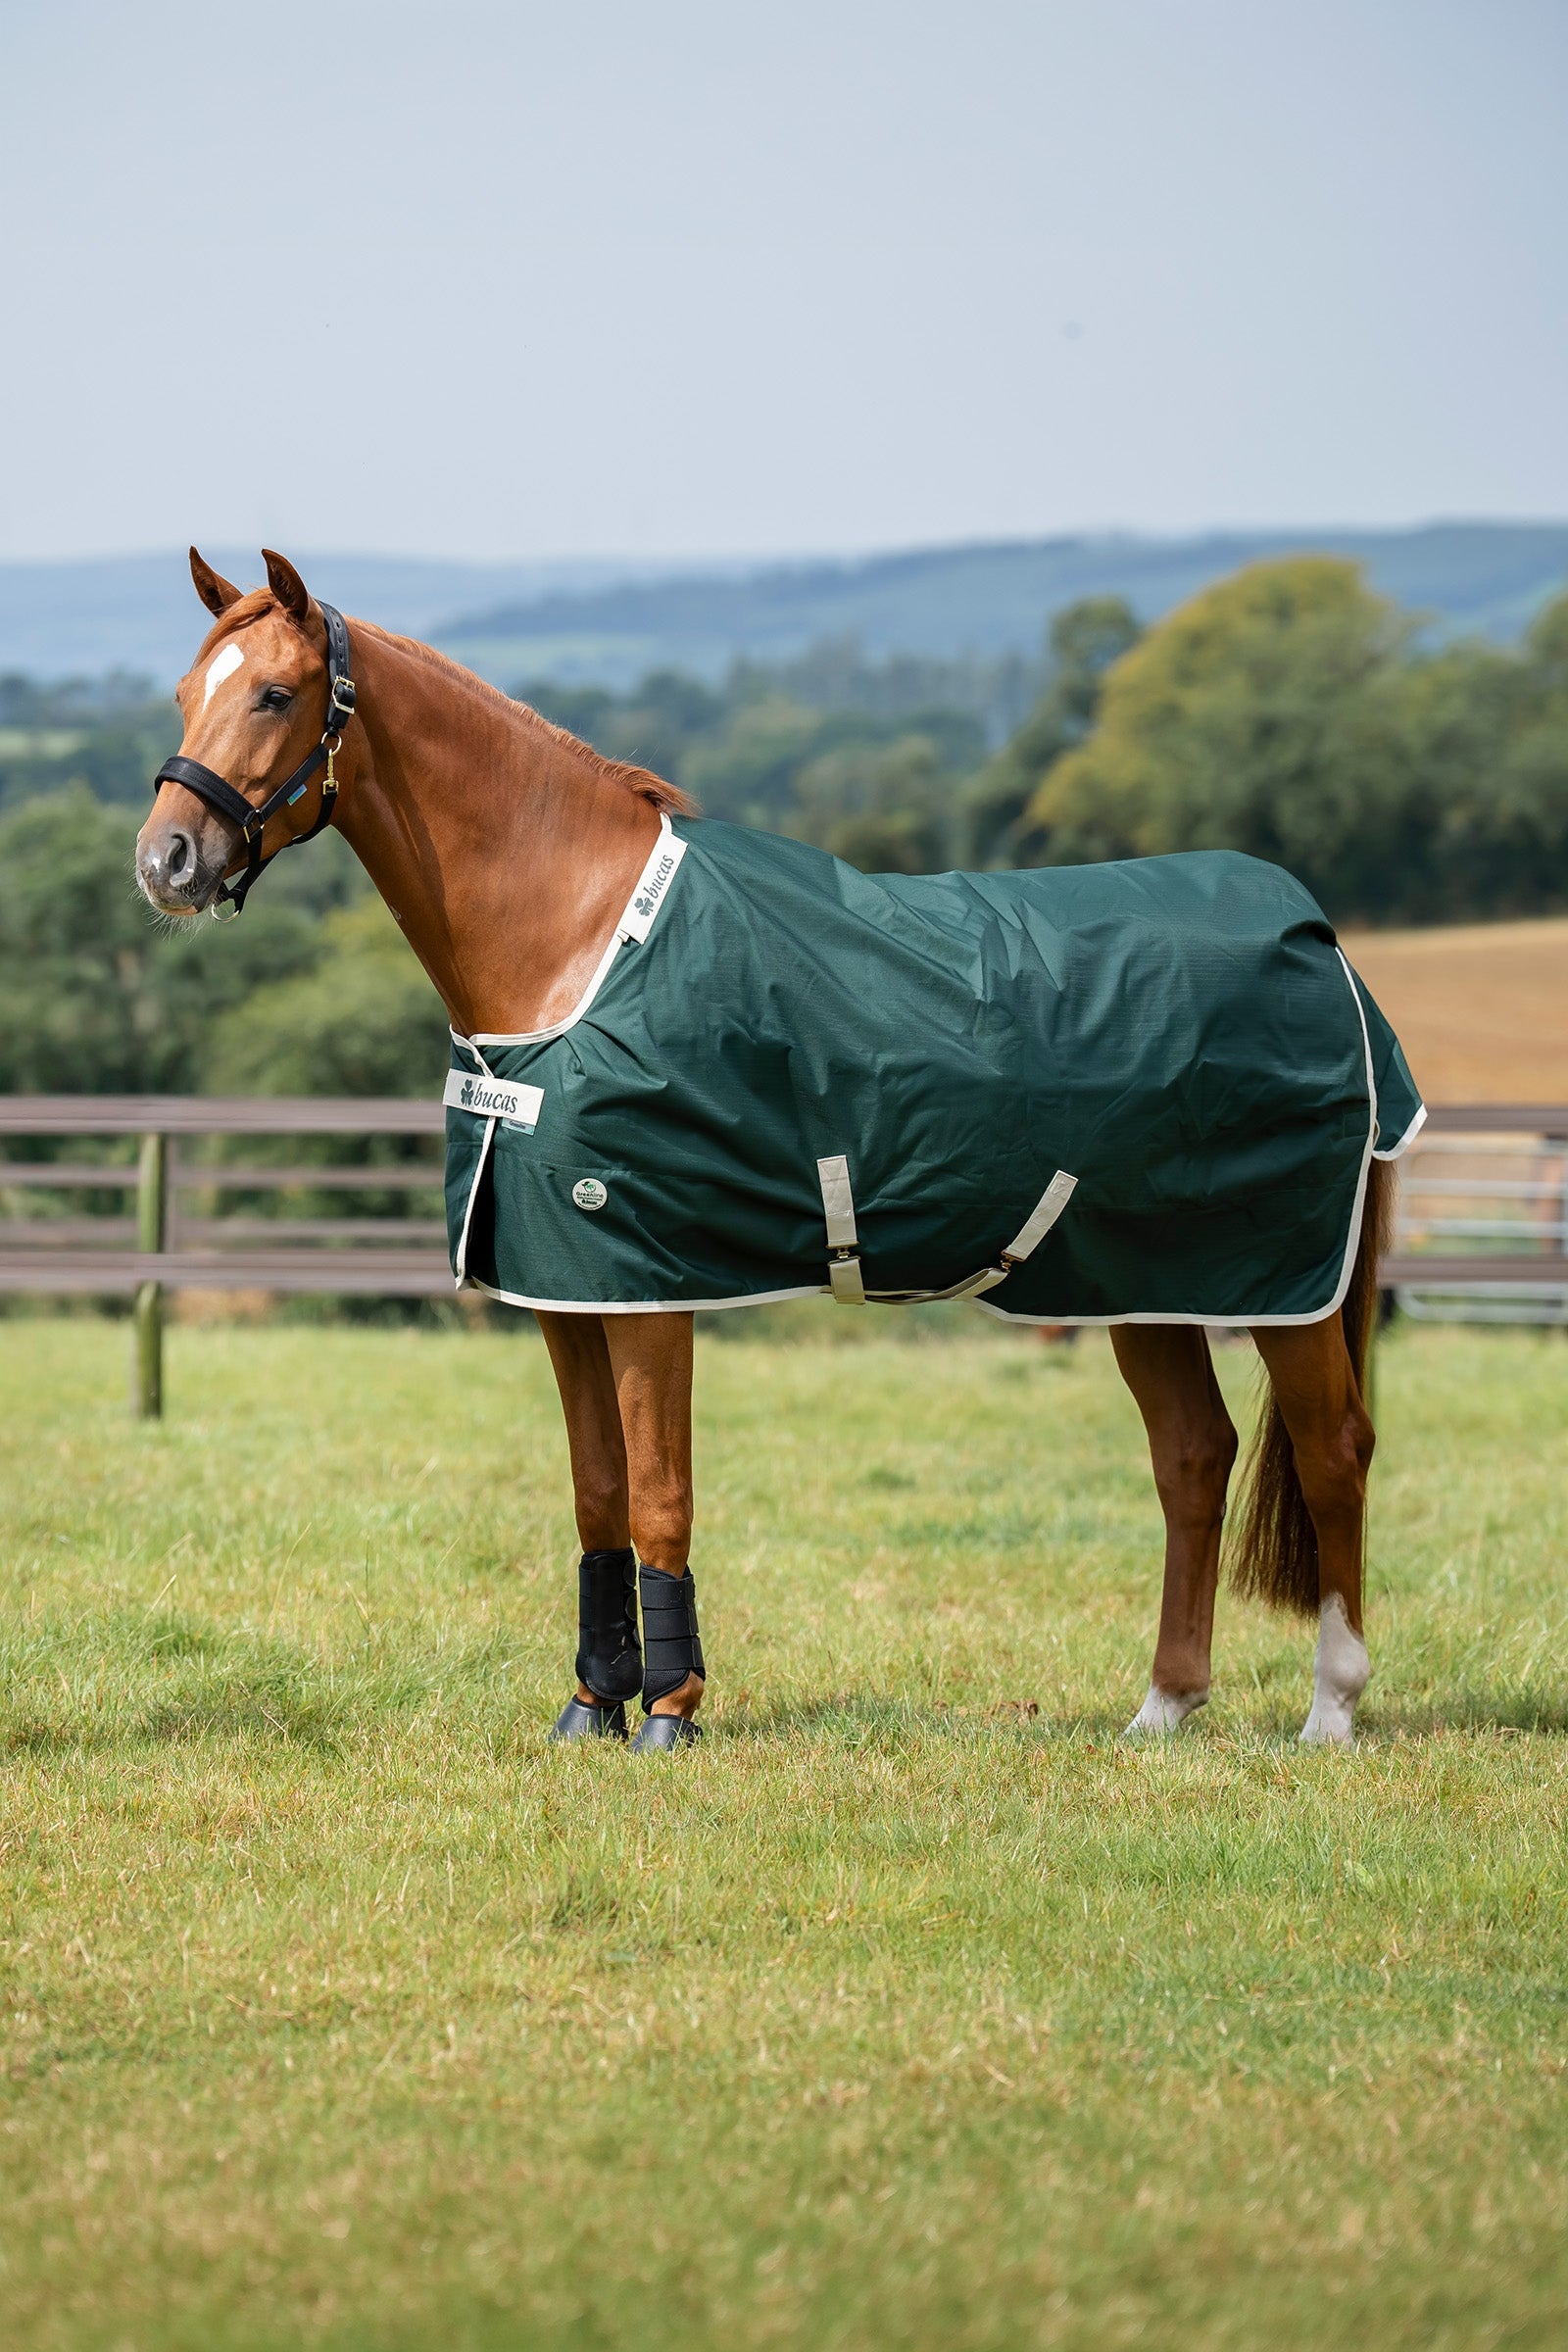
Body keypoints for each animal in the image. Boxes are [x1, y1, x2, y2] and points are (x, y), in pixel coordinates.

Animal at [136, 546, 1415, 1750]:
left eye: (277, 694)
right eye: (186, 693)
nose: (166, 862)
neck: (576, 939)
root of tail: (1324, 944)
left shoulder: (648, 1281)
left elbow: (659, 1492)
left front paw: (670, 1712)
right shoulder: (566, 1287)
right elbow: (595, 1493)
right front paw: (590, 1707)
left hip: (1279, 1279)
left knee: (1333, 1447)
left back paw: (1330, 1709)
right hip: (1138, 1277)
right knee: (1193, 1456)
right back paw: (1162, 1708)